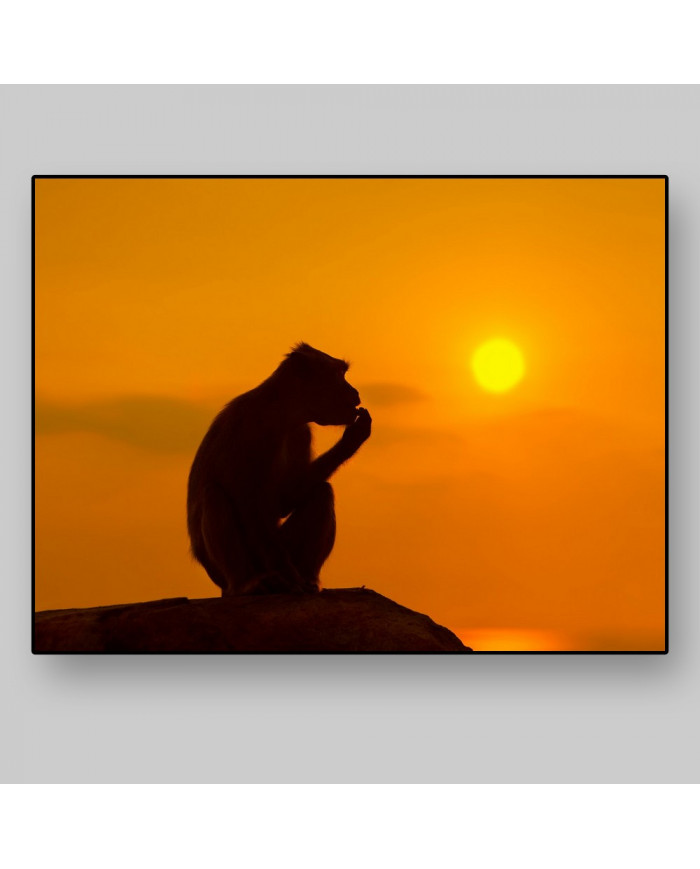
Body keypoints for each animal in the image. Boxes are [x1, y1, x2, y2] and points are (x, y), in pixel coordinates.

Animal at [187, 343, 372, 596]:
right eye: (339, 374)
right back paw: (248, 582)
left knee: (322, 492)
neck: (283, 413)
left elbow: (284, 501)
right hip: (231, 569)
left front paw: (353, 439)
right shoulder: (254, 429)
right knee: (213, 495)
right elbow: (250, 506)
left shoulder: (301, 432)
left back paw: (308, 578)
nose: (355, 392)